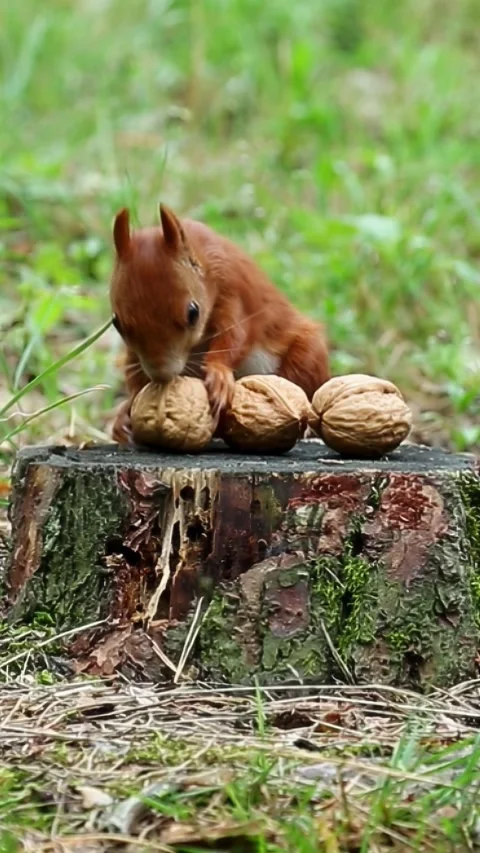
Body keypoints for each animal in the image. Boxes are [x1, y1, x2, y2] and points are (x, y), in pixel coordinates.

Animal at [110, 203, 330, 444]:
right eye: (116, 323)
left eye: (193, 313)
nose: (161, 373)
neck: (204, 257)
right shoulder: (134, 354)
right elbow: (133, 371)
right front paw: (125, 414)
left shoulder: (233, 290)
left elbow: (236, 336)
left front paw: (219, 375)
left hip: (306, 358)